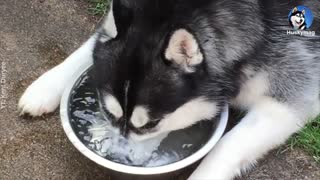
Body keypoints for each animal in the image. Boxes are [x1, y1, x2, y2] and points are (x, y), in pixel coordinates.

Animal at [18, 0, 318, 179]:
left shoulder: (290, 96)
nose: (120, 158)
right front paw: (47, 85)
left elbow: (226, 145)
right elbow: (94, 42)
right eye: (109, 112)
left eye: (151, 124)